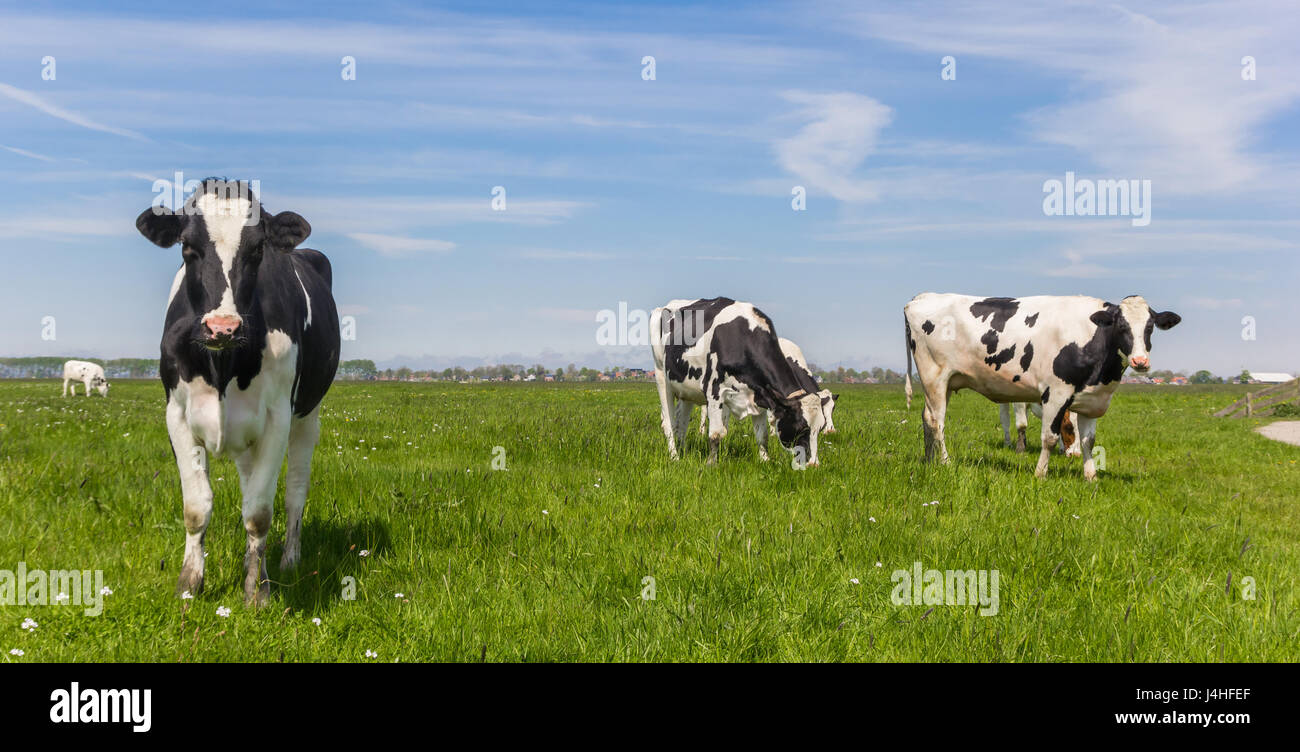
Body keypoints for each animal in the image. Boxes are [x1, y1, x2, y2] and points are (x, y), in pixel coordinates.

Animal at [135, 179, 340, 605]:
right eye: (186, 246)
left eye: (258, 249)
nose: (223, 327)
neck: (222, 367)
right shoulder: (177, 414)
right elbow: (196, 507)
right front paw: (189, 585)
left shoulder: (278, 417)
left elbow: (259, 512)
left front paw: (256, 591)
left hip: (307, 416)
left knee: (294, 491)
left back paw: (288, 560)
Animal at [651, 298, 825, 467]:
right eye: (801, 428)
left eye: (821, 427)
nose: (813, 464)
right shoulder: (714, 390)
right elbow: (715, 434)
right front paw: (711, 464)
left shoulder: (761, 394)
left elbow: (762, 436)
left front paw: (765, 461)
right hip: (661, 376)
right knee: (668, 423)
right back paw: (675, 457)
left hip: (686, 390)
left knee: (681, 422)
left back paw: (684, 452)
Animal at [697, 336, 839, 438]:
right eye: (822, 408)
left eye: (833, 409)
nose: (831, 431)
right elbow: (771, 419)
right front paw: (772, 435)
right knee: (706, 411)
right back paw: (704, 431)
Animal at [904, 294, 1179, 480]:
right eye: (1121, 326)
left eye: (1150, 327)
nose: (1140, 361)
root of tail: (921, 297)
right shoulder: (1056, 394)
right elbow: (1049, 438)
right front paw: (1040, 473)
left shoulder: (1092, 400)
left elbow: (1088, 441)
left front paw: (1091, 477)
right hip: (934, 377)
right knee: (937, 422)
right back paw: (945, 462)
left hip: (946, 383)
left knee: (927, 417)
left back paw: (929, 460)